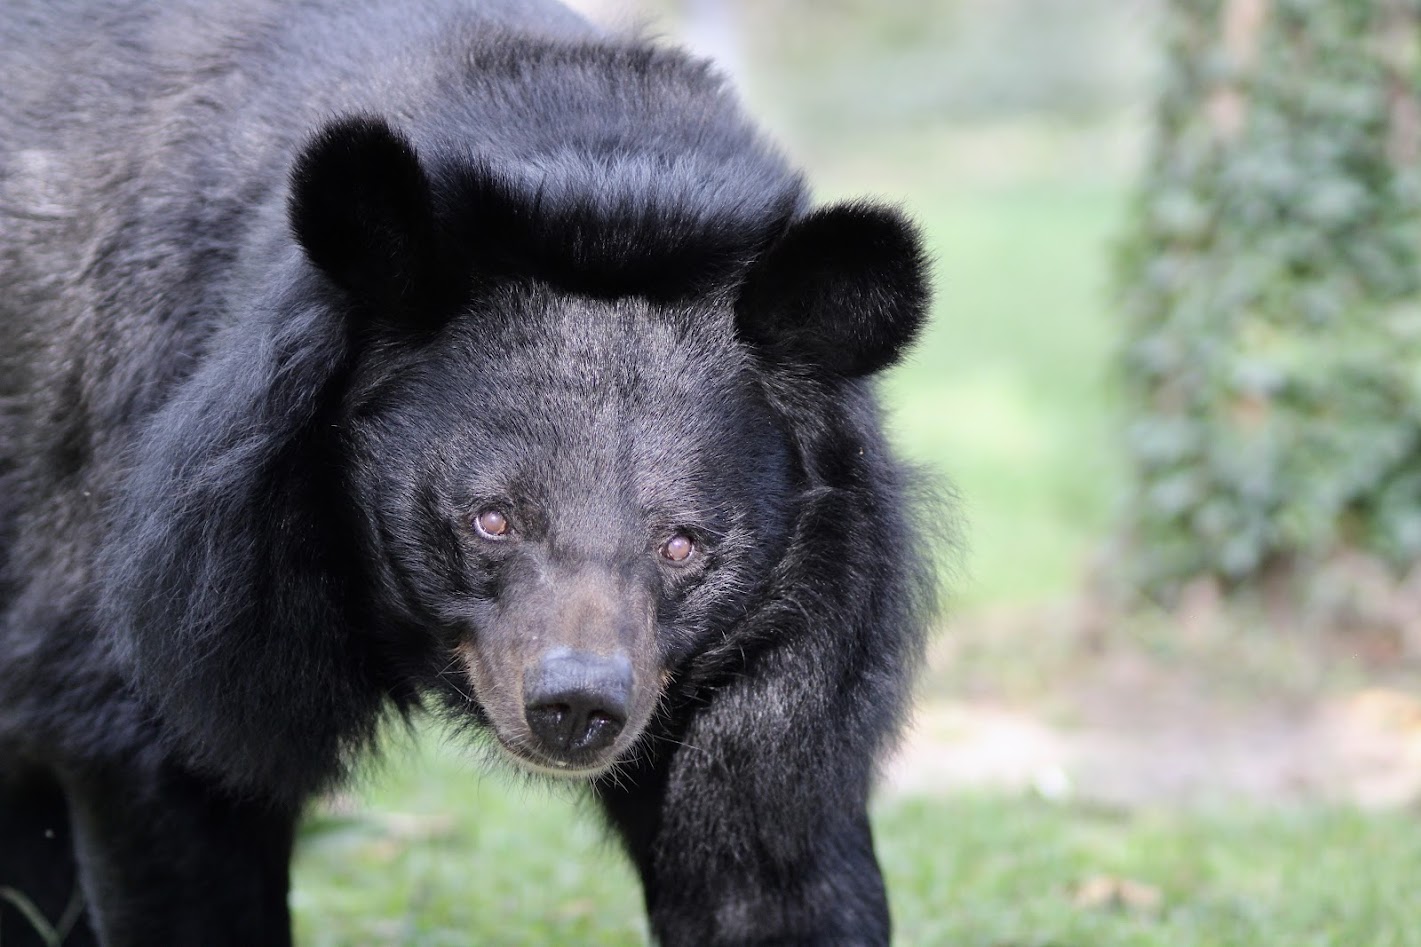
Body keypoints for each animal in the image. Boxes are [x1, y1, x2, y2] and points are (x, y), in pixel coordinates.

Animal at [0, 0, 936, 944]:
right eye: (492, 519)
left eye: (682, 544)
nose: (575, 706)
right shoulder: (176, 582)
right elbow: (169, 768)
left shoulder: (789, 652)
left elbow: (764, 859)